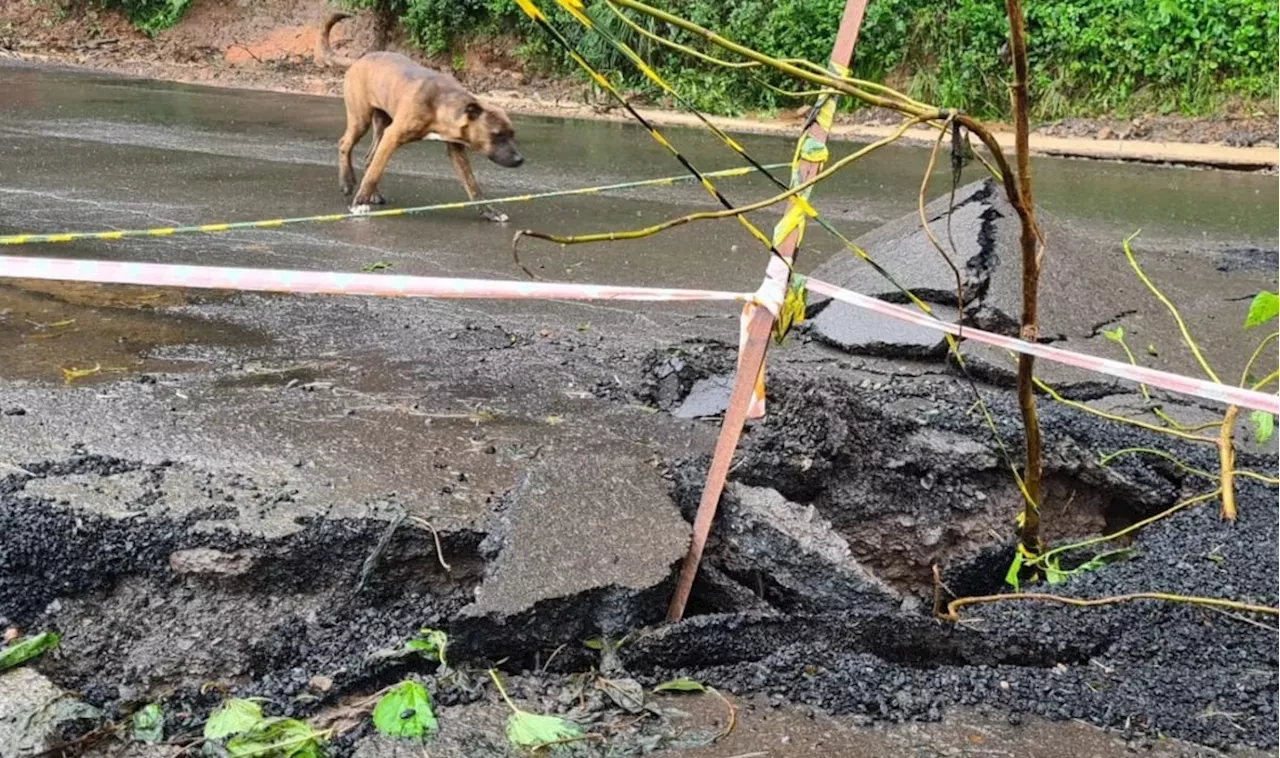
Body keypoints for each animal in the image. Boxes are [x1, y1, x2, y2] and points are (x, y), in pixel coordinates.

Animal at [317, 11, 522, 218]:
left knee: (369, 158)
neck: (440, 104)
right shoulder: (392, 137)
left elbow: (472, 184)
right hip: (361, 119)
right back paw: (347, 182)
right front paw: (359, 203)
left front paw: (489, 211)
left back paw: (373, 194)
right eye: (496, 135)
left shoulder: (456, 150)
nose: (520, 160)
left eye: (512, 134)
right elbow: (375, 173)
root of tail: (359, 60)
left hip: (381, 124)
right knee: (346, 144)